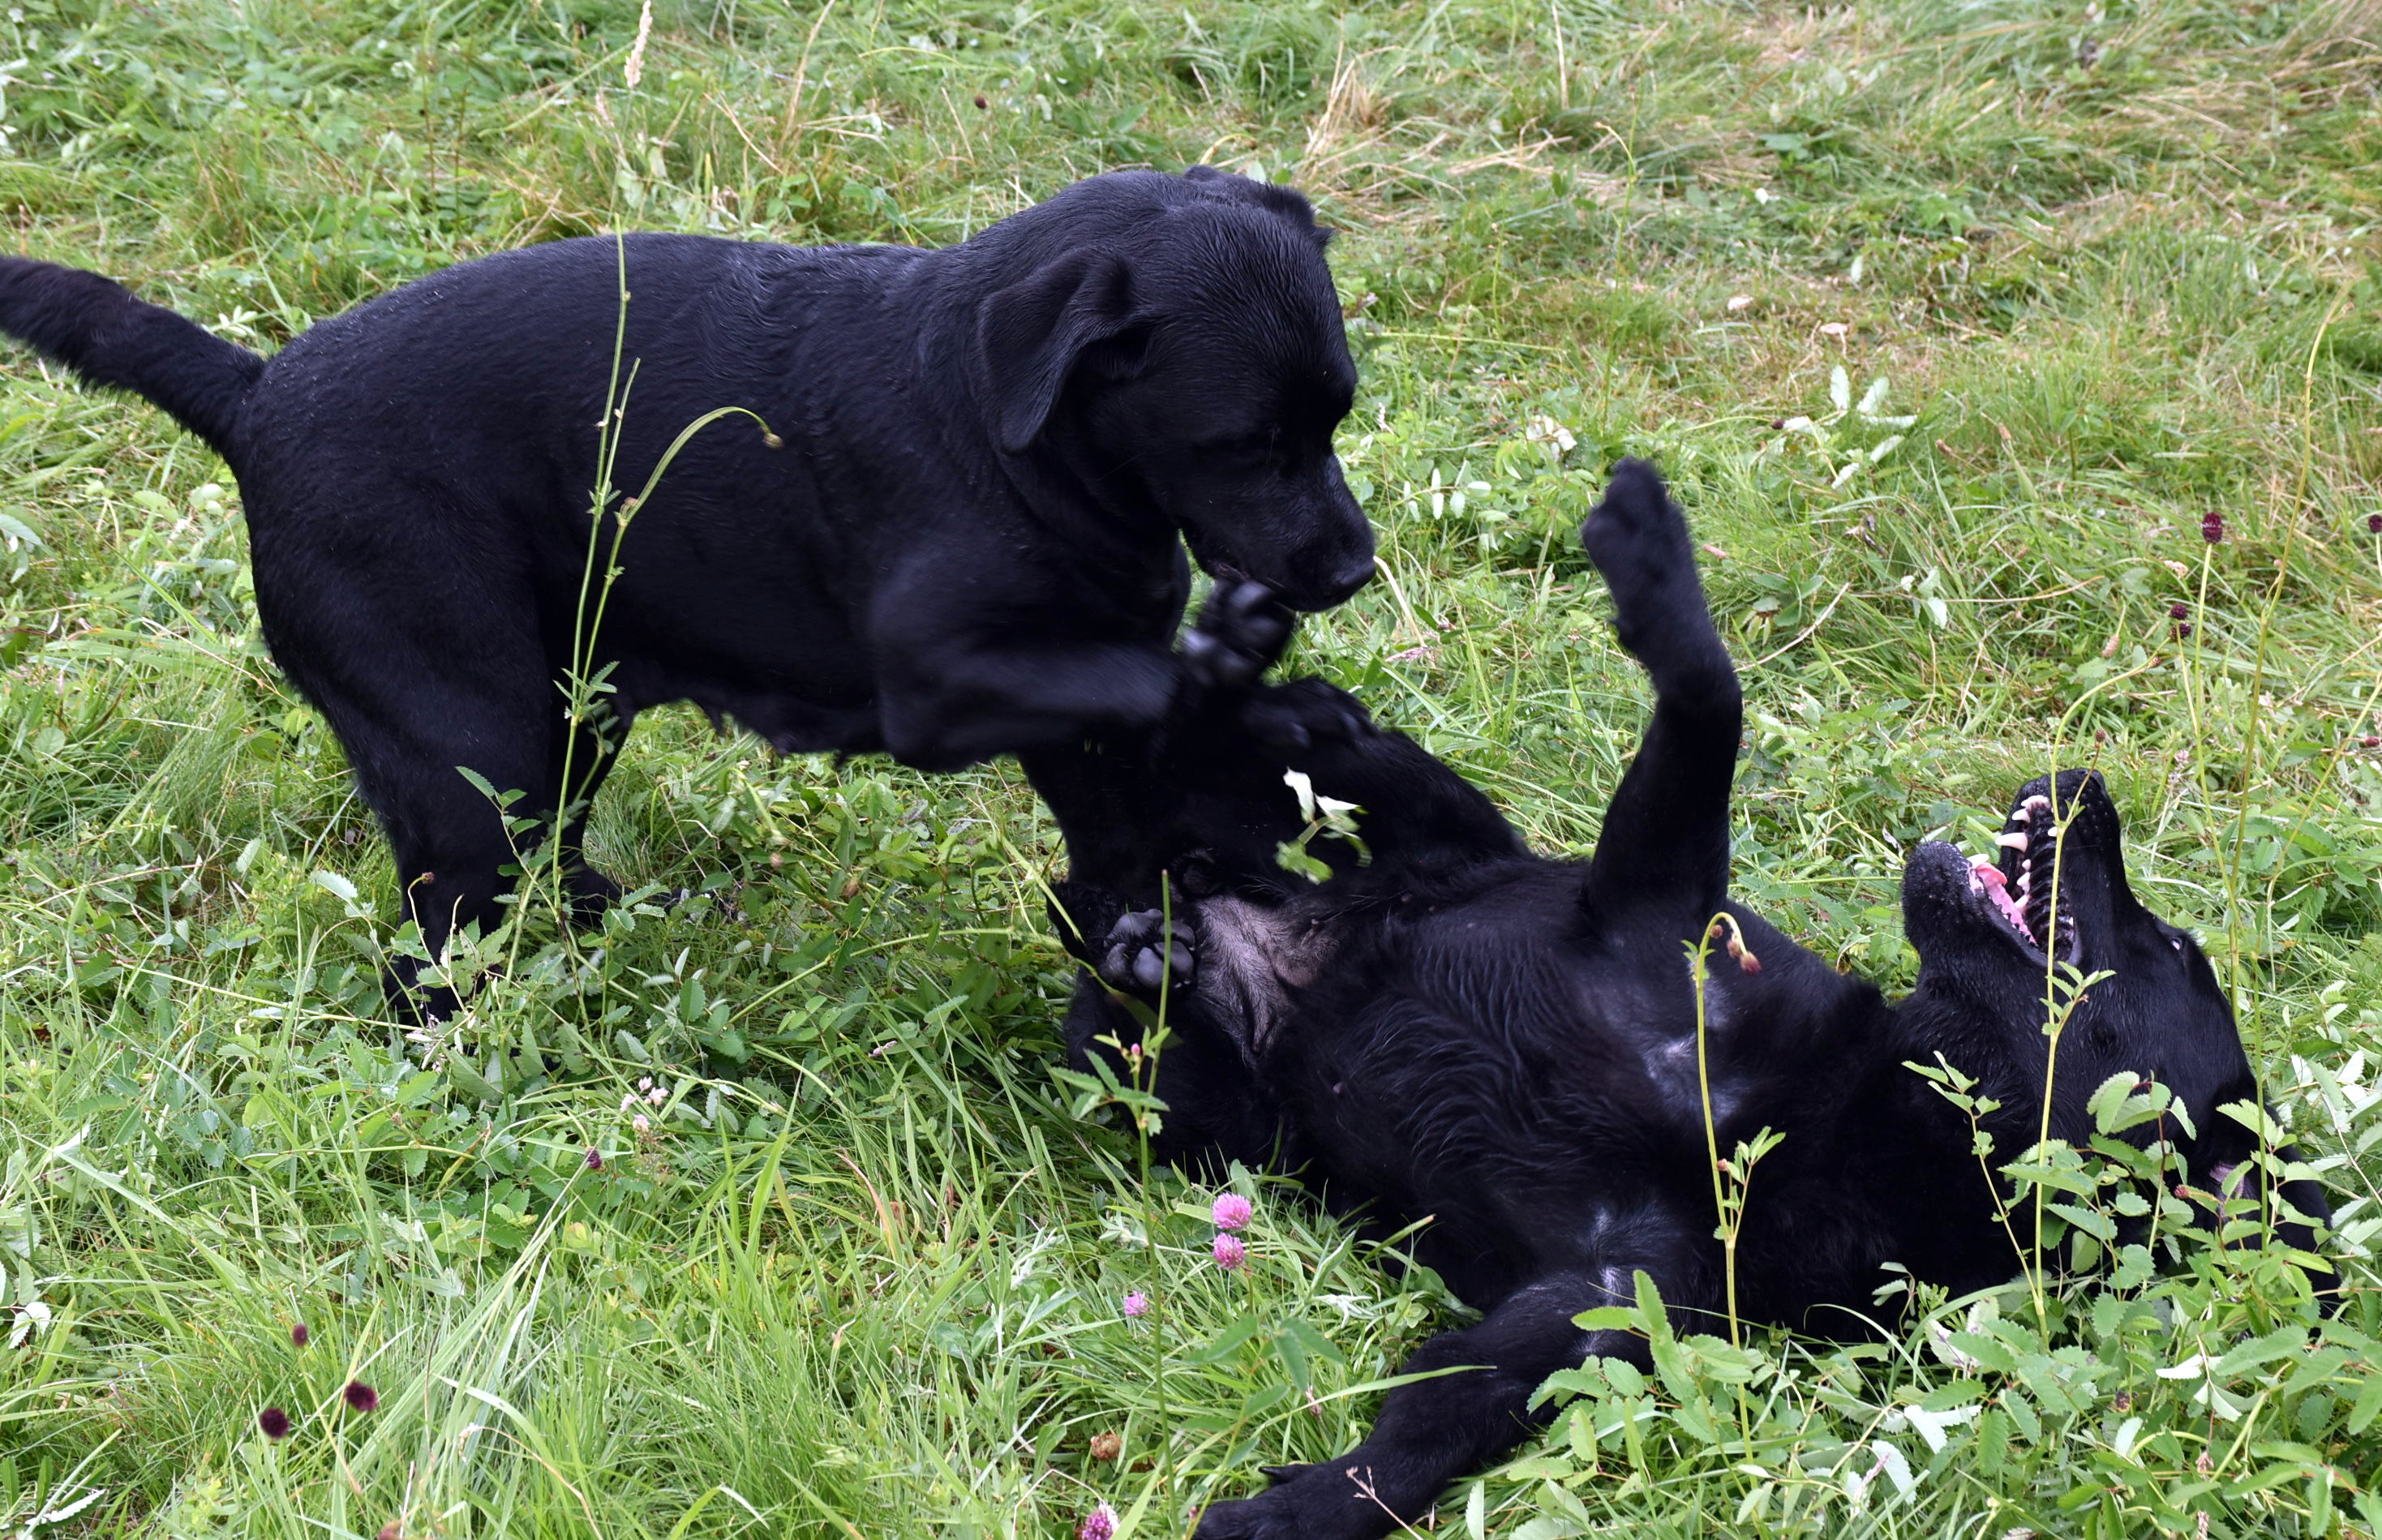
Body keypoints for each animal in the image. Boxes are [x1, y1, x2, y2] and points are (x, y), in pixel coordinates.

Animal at [0, 169, 1371, 1019]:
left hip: (570, 715)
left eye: (1336, 419)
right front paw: (1235, 673)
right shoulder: (939, 680)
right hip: (476, 756)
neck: (1007, 435)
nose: (1354, 566)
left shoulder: (1075, 738)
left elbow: (1118, 819)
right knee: (431, 962)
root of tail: (255, 393)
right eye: (1247, 444)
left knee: (543, 879)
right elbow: (1134, 673)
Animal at [1053, 461, 2315, 1540]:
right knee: (1261, 752)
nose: (2086, 780)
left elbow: (1439, 1418)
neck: (1830, 1122)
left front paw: (1308, 1507)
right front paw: (1652, 552)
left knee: (1117, 950)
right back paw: (1245, 679)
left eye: (2173, 947)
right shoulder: (1647, 897)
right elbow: (1711, 691)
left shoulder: (1604, 1295)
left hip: (1201, 1107)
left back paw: (1149, 944)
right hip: (1424, 828)